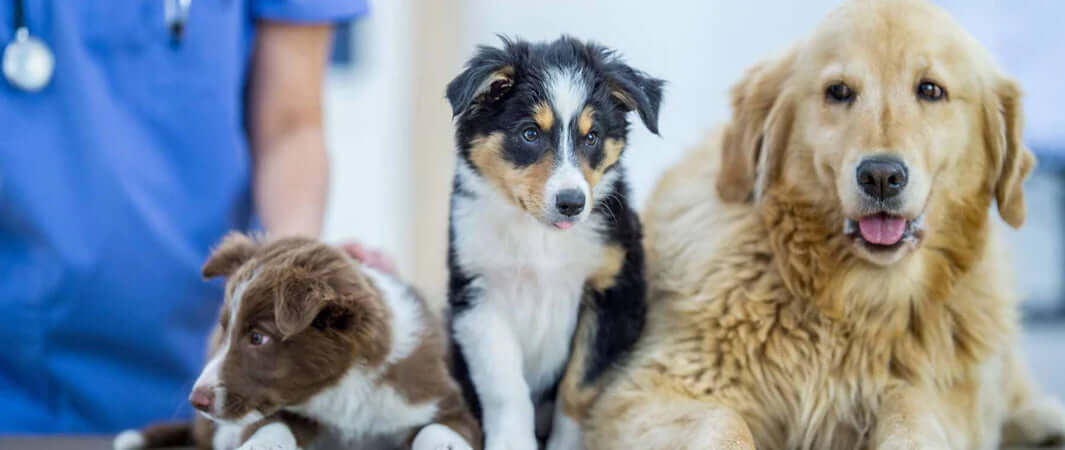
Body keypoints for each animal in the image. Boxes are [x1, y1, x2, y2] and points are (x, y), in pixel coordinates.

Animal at [114, 234, 481, 450]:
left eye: (258, 338)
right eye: (225, 329)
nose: (196, 400)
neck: (343, 388)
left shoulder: (443, 401)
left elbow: (438, 432)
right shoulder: (284, 407)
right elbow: (273, 425)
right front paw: (258, 444)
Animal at [445, 36, 660, 450]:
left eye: (591, 137)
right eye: (530, 133)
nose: (572, 203)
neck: (540, 237)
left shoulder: (614, 292)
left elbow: (577, 386)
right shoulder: (477, 294)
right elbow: (505, 387)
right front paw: (512, 443)